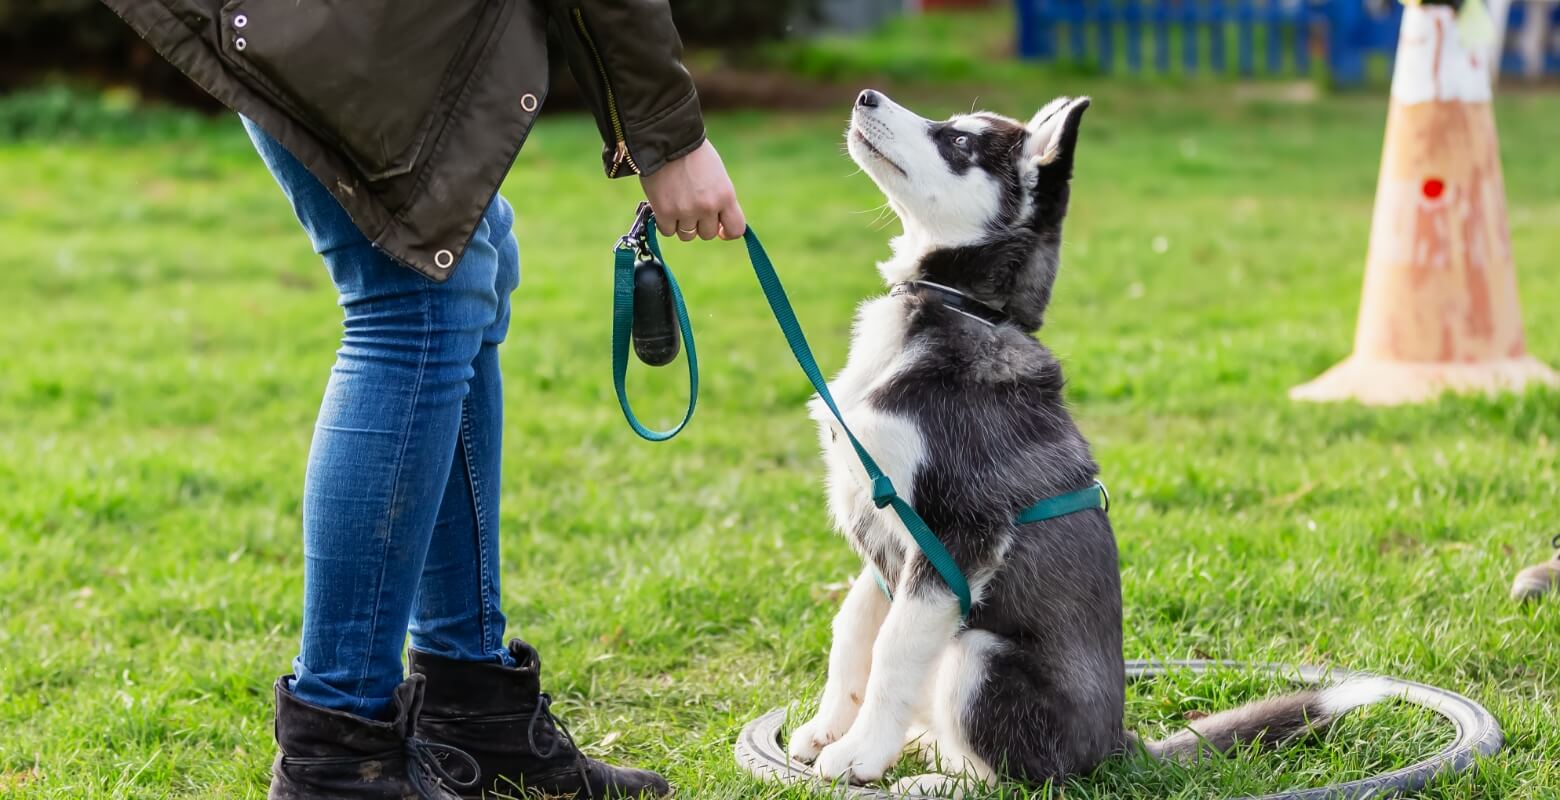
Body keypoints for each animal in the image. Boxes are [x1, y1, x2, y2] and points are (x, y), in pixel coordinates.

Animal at [786, 88, 1397, 792]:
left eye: (959, 142)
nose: (866, 95)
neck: (961, 309)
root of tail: (1116, 746)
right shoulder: (885, 535)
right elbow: (853, 629)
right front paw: (828, 729)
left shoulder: (957, 534)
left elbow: (893, 647)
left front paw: (860, 754)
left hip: (979, 655)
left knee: (1019, 775)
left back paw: (938, 780)